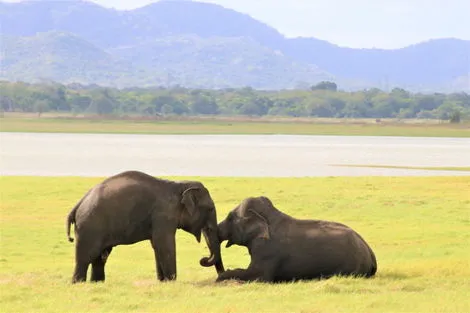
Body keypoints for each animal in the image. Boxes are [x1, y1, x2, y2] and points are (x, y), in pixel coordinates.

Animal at [65, 171, 225, 282]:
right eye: (210, 209)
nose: (203, 259)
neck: (179, 185)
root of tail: (78, 205)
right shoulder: (163, 214)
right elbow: (164, 244)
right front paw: (171, 281)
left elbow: (157, 245)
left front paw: (163, 281)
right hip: (90, 227)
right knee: (86, 258)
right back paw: (79, 283)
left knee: (99, 259)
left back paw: (97, 283)